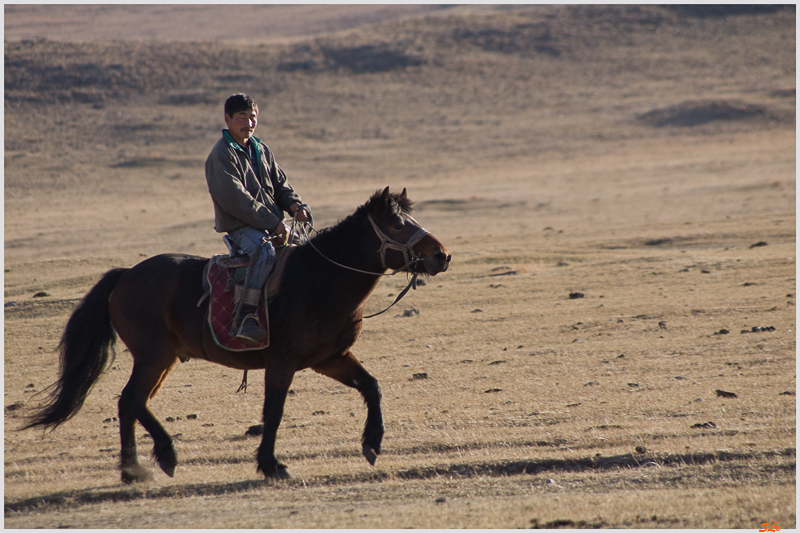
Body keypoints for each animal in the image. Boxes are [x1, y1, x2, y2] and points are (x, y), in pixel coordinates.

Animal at [23, 188, 450, 482]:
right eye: (398, 224)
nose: (441, 255)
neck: (319, 282)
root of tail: (126, 275)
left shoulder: (330, 359)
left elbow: (371, 386)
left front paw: (372, 443)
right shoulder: (282, 362)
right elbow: (273, 412)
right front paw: (271, 465)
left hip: (162, 359)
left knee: (131, 404)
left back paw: (134, 470)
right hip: (153, 356)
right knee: (130, 400)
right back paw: (160, 457)